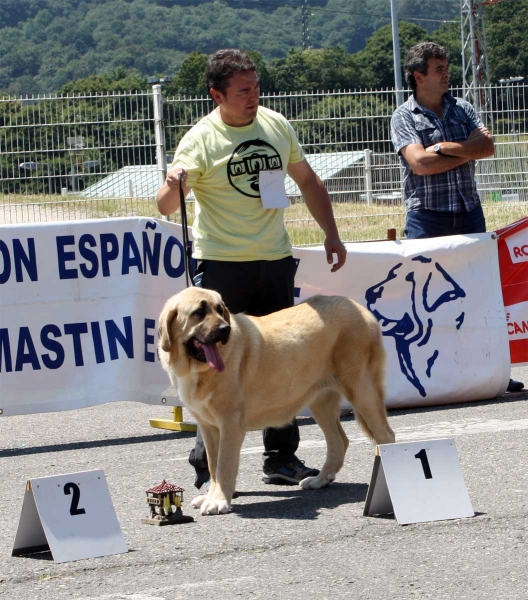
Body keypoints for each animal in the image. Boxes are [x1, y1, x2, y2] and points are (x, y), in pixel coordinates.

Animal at [159, 286, 394, 516]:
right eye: (199, 312)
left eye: (219, 309)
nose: (225, 329)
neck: (198, 369)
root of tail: (359, 308)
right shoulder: (208, 427)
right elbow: (213, 466)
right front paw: (211, 497)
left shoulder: (230, 425)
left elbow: (224, 466)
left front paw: (219, 501)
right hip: (320, 401)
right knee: (339, 441)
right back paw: (319, 480)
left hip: (362, 390)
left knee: (385, 436)